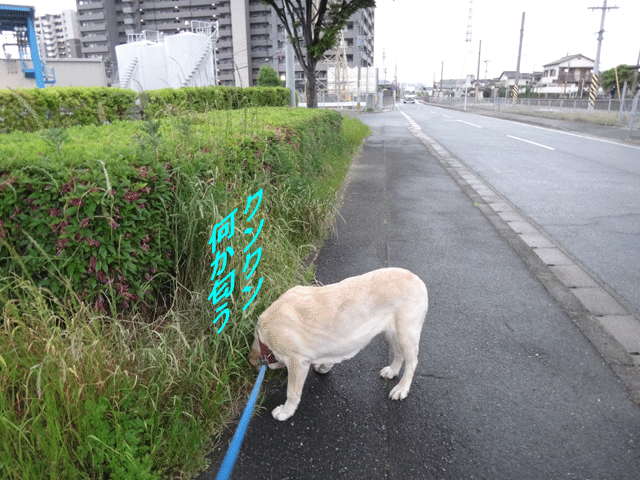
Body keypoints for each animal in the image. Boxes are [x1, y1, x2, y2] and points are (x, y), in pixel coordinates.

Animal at [250, 268, 430, 422]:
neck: (264, 338)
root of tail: (418, 279)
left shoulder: (297, 363)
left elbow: (292, 393)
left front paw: (285, 412)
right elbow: (328, 359)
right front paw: (323, 368)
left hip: (406, 333)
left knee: (412, 362)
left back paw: (401, 389)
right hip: (391, 333)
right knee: (399, 355)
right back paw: (392, 371)